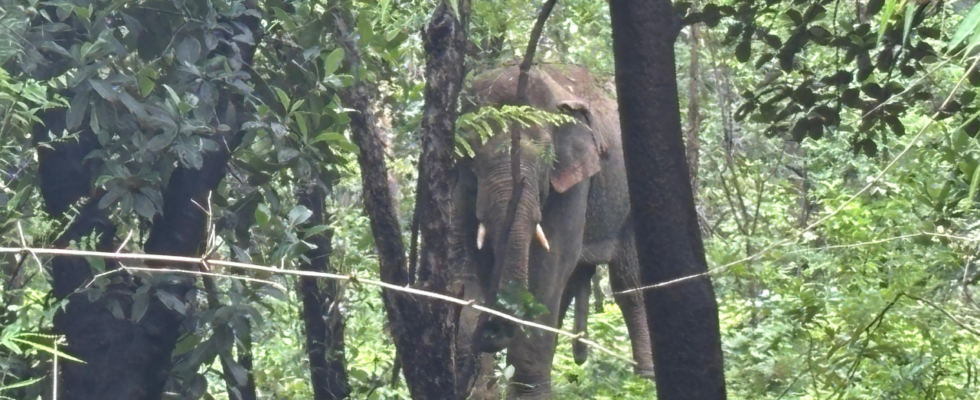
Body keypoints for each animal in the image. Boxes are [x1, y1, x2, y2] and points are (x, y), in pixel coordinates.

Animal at [454, 64, 656, 398]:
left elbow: (554, 259)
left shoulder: (575, 178)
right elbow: (474, 257)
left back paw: (645, 381)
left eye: (546, 157)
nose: (492, 331)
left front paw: (528, 395)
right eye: (472, 160)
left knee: (628, 284)